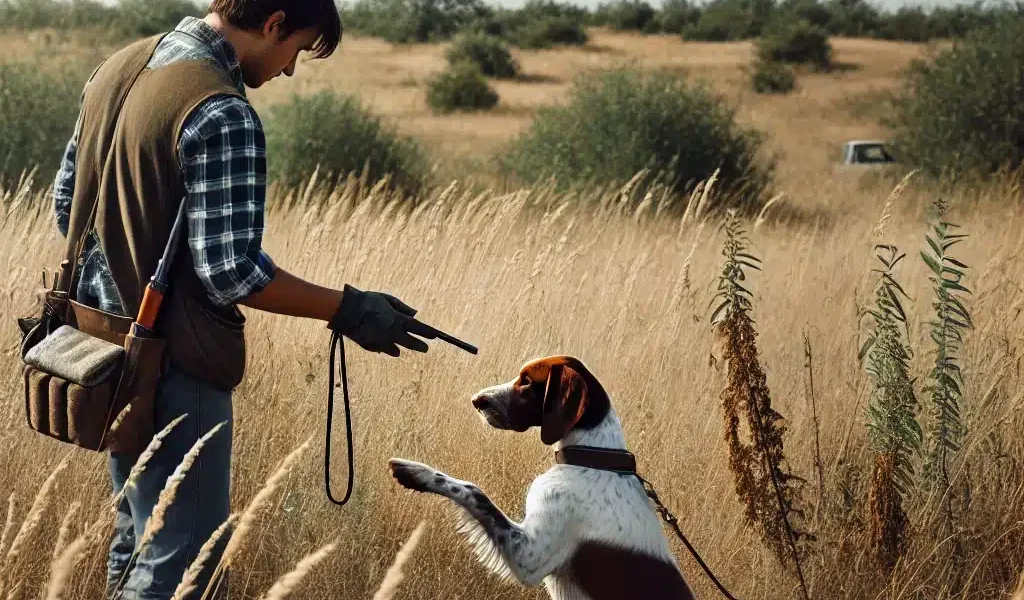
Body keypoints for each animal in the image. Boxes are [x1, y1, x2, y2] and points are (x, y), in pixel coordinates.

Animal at [387, 354, 700, 597]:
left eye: (526, 381)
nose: (477, 400)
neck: (591, 458)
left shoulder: (529, 556)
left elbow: (473, 490)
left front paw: (416, 472)